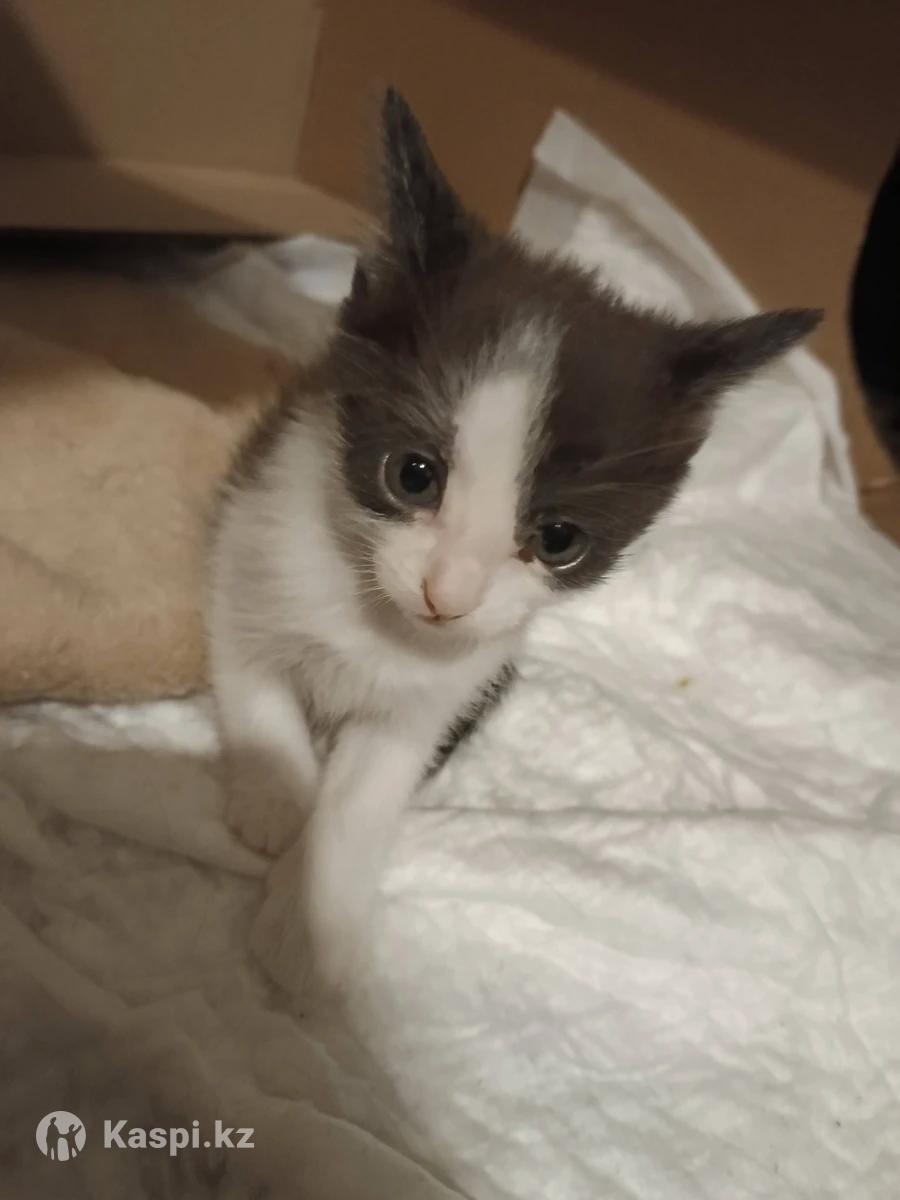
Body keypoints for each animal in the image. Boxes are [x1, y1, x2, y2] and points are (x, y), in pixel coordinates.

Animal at [209, 89, 820, 992]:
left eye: (560, 538)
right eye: (413, 475)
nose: (447, 594)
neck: (378, 621)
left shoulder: (445, 691)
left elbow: (367, 793)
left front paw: (309, 922)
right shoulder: (250, 521)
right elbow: (251, 672)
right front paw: (274, 793)